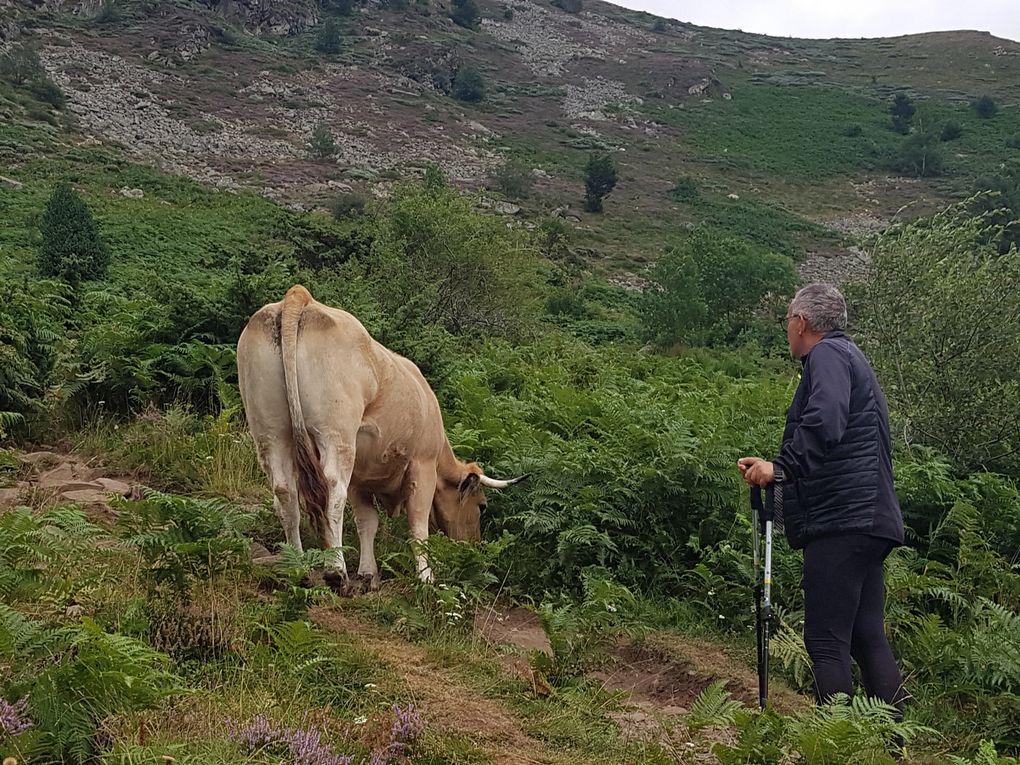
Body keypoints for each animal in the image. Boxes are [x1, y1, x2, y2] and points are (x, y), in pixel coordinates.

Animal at [236, 287, 526, 591]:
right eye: (481, 506)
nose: (473, 546)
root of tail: (299, 297)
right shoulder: (422, 464)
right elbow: (417, 524)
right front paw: (426, 577)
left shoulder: (361, 479)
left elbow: (367, 522)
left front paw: (368, 573)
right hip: (336, 435)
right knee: (332, 493)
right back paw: (336, 571)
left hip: (271, 432)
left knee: (285, 495)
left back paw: (299, 569)